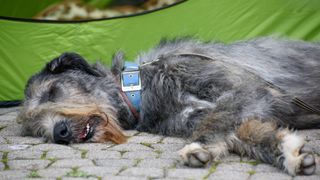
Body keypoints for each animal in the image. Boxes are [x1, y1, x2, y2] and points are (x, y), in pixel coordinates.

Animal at [17, 37, 320, 175]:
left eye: (52, 91)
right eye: (36, 129)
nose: (60, 132)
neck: (138, 88)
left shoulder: (242, 88)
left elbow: (219, 118)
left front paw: (196, 147)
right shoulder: (200, 115)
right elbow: (244, 132)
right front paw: (290, 152)